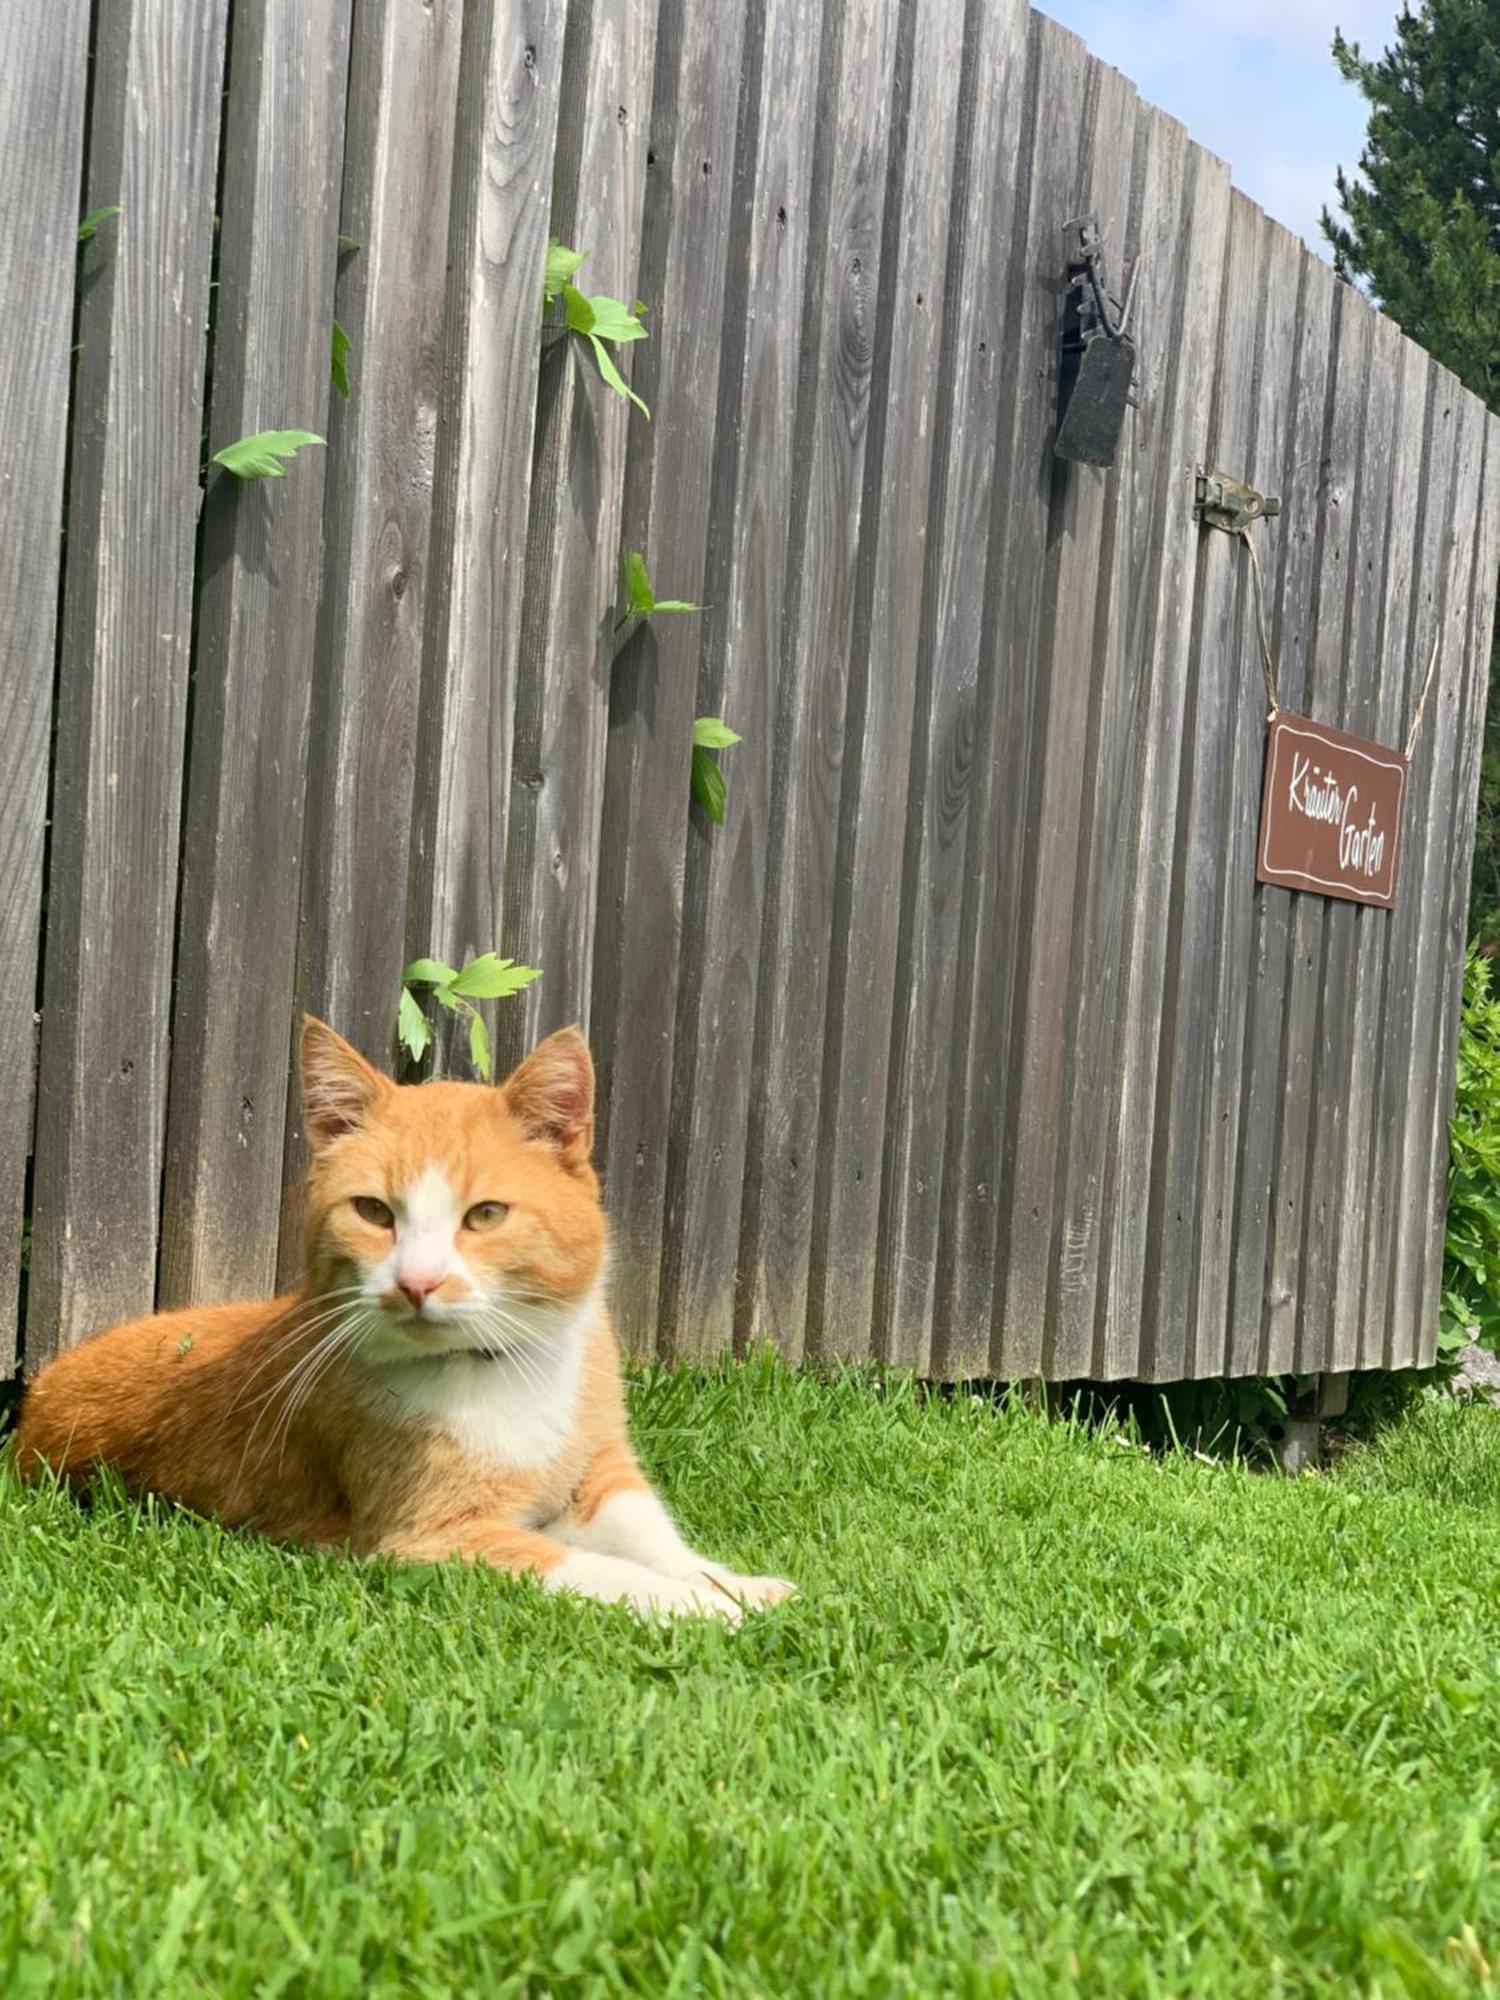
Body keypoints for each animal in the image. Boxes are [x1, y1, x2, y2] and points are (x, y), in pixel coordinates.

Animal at [14, 1024, 800, 1616]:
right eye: (372, 1211)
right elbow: (591, 1568)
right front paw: (702, 1608)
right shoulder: (432, 1538)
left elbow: (655, 1537)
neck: (504, 1375)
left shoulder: (598, 1473)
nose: (418, 1282)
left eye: (485, 1215)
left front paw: (736, 1584)